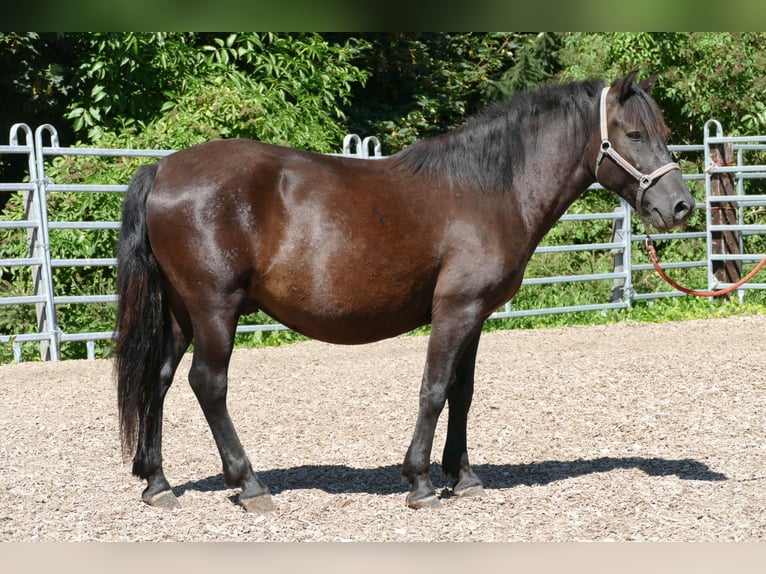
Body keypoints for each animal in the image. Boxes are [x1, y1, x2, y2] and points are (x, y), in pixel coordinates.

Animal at [114, 70, 696, 516]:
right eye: (634, 133)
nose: (681, 206)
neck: (490, 188)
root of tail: (163, 167)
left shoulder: (476, 315)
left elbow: (462, 392)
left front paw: (463, 477)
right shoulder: (455, 309)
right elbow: (434, 390)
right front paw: (420, 482)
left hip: (182, 312)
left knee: (159, 380)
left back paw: (157, 483)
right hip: (216, 307)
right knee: (208, 384)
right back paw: (249, 484)